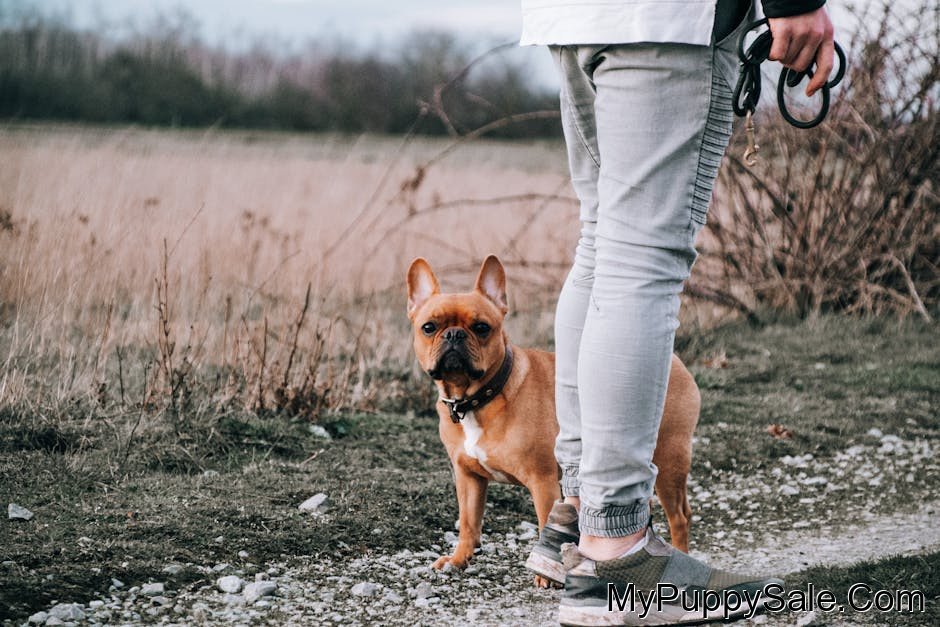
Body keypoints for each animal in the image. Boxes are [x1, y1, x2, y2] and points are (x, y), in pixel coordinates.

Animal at [406, 255, 700, 572]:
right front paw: (459, 559)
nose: (454, 334)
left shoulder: (542, 481)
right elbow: (469, 522)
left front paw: (544, 573)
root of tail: (674, 361)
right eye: (428, 327)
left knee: (680, 517)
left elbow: (543, 521)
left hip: (669, 458)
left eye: (482, 327)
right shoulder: (468, 478)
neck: (478, 398)